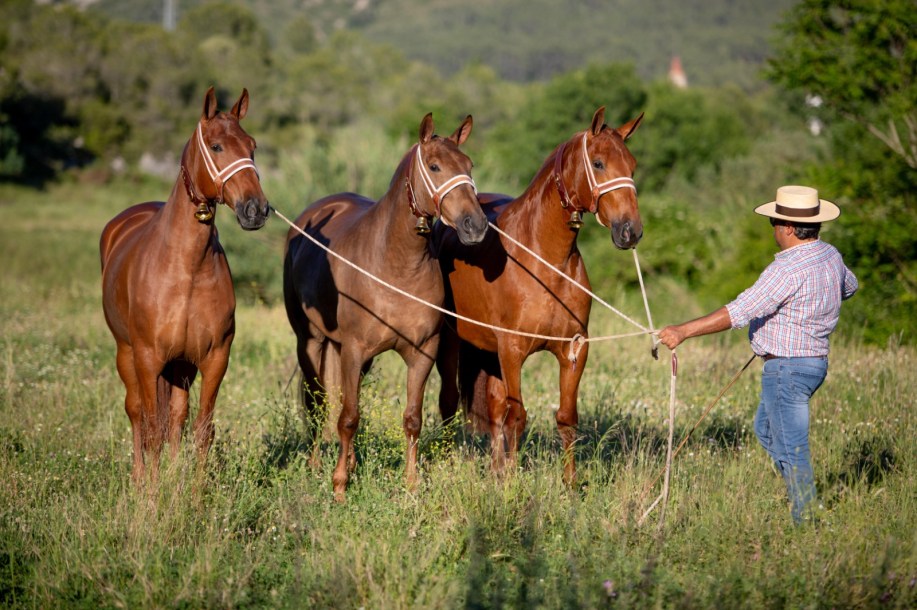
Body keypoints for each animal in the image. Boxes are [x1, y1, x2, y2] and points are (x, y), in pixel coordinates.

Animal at [100, 87, 269, 485]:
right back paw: (139, 478)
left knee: (176, 417)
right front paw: (150, 495)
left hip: (180, 366)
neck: (186, 270)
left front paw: (191, 492)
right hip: (127, 354)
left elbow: (201, 429)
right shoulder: (148, 359)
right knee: (137, 413)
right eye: (216, 146)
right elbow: (150, 428)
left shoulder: (214, 357)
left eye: (252, 146)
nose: (255, 209)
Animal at [283, 113, 488, 501]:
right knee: (318, 403)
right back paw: (318, 465)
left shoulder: (422, 352)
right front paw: (339, 487)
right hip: (312, 342)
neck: (395, 265)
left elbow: (412, 418)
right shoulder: (353, 349)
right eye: (435, 166)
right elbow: (348, 418)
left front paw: (411, 484)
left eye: (469, 165)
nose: (476, 225)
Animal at [433, 107, 643, 484]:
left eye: (632, 165)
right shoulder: (513, 350)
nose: (630, 231)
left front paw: (570, 485)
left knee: (494, 407)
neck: (544, 261)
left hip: (488, 352)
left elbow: (565, 418)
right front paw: (511, 485)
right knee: (451, 403)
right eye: (599, 163)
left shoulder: (574, 349)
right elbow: (517, 418)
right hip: (453, 343)